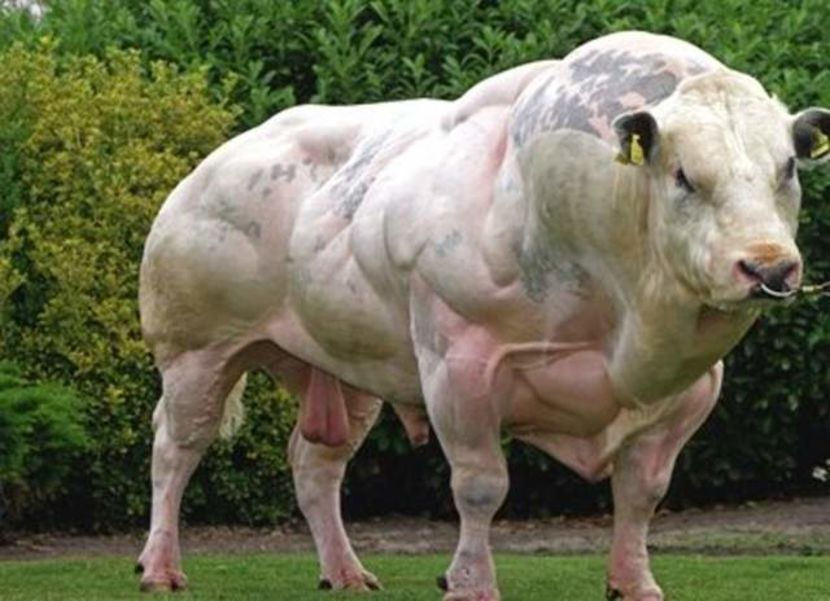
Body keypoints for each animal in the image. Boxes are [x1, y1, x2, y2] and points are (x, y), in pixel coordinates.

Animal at [135, 31, 830, 600]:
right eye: (685, 175)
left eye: (787, 169)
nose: (768, 267)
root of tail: (216, 161)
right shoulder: (460, 366)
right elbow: (480, 485)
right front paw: (469, 582)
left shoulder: (691, 390)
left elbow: (642, 492)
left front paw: (635, 583)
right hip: (196, 351)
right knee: (175, 449)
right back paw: (160, 567)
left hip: (350, 368)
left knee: (315, 466)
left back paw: (345, 571)